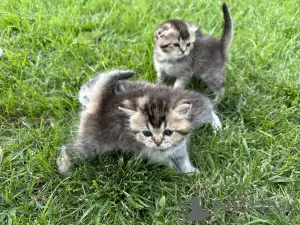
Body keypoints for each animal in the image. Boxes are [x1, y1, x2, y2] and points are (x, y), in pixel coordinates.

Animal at [56, 69, 221, 175]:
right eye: (146, 133)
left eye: (168, 132)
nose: (158, 142)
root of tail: (99, 106)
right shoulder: (152, 151)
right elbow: (169, 160)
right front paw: (186, 173)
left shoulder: (174, 147)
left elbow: (181, 159)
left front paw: (191, 173)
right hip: (92, 142)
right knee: (69, 151)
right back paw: (65, 170)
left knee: (206, 106)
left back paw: (217, 126)